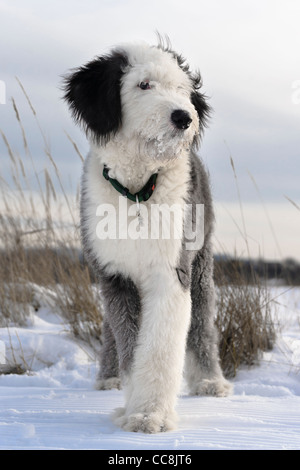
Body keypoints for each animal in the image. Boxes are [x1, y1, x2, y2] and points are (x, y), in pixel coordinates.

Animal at [63, 36, 232, 434]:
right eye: (143, 85)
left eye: (182, 89)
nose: (184, 117)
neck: (137, 190)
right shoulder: (114, 274)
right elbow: (127, 342)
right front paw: (131, 399)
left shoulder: (171, 271)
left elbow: (159, 348)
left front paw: (149, 414)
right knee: (109, 328)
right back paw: (108, 377)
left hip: (201, 264)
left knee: (202, 324)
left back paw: (209, 381)